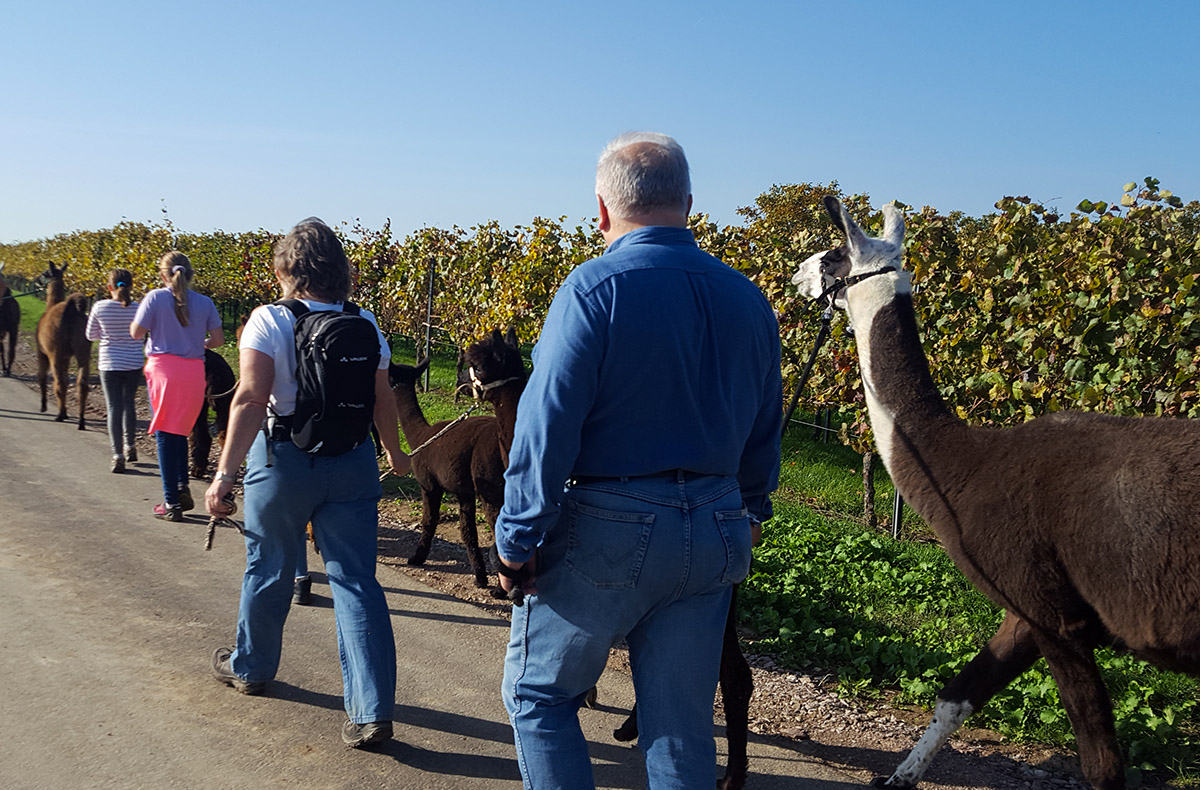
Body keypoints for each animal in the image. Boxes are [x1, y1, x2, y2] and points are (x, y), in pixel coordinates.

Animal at [35, 261, 92, 429]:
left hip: (55, 352)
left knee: (58, 382)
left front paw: (44, 407)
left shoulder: (43, 352)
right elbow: (67, 380)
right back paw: (81, 421)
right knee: (82, 384)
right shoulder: (67, 357)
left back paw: (60, 416)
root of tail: (71, 310)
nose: (36, 280)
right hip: (83, 350)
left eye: (45, 273)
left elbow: (42, 376)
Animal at [790, 196, 1200, 790]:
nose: (795, 272)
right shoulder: (1029, 608)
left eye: (833, 256)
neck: (972, 466)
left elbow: (1101, 767)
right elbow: (955, 697)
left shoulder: (1056, 616)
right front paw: (898, 777)